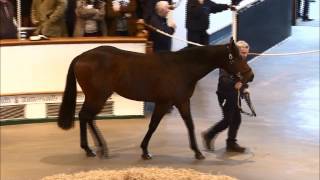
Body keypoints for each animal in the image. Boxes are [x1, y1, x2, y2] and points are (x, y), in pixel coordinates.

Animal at [57, 38, 252, 160]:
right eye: (236, 57)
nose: (250, 76)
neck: (182, 67)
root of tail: (81, 57)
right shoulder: (166, 102)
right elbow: (154, 125)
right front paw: (145, 152)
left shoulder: (180, 102)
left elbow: (189, 124)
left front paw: (197, 152)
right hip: (97, 96)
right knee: (84, 116)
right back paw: (91, 150)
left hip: (97, 97)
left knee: (89, 118)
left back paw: (100, 148)